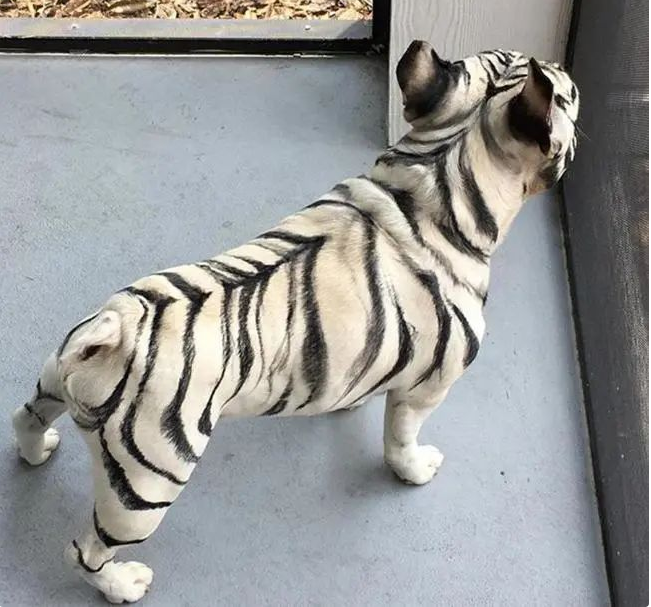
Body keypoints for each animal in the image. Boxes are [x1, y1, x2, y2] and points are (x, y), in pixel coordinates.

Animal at [11, 40, 579, 603]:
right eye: (569, 94)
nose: (560, 67)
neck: (434, 175)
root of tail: (115, 333)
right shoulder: (428, 388)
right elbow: (400, 439)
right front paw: (416, 469)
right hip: (145, 489)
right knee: (84, 551)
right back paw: (122, 583)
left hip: (53, 380)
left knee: (26, 418)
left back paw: (37, 453)